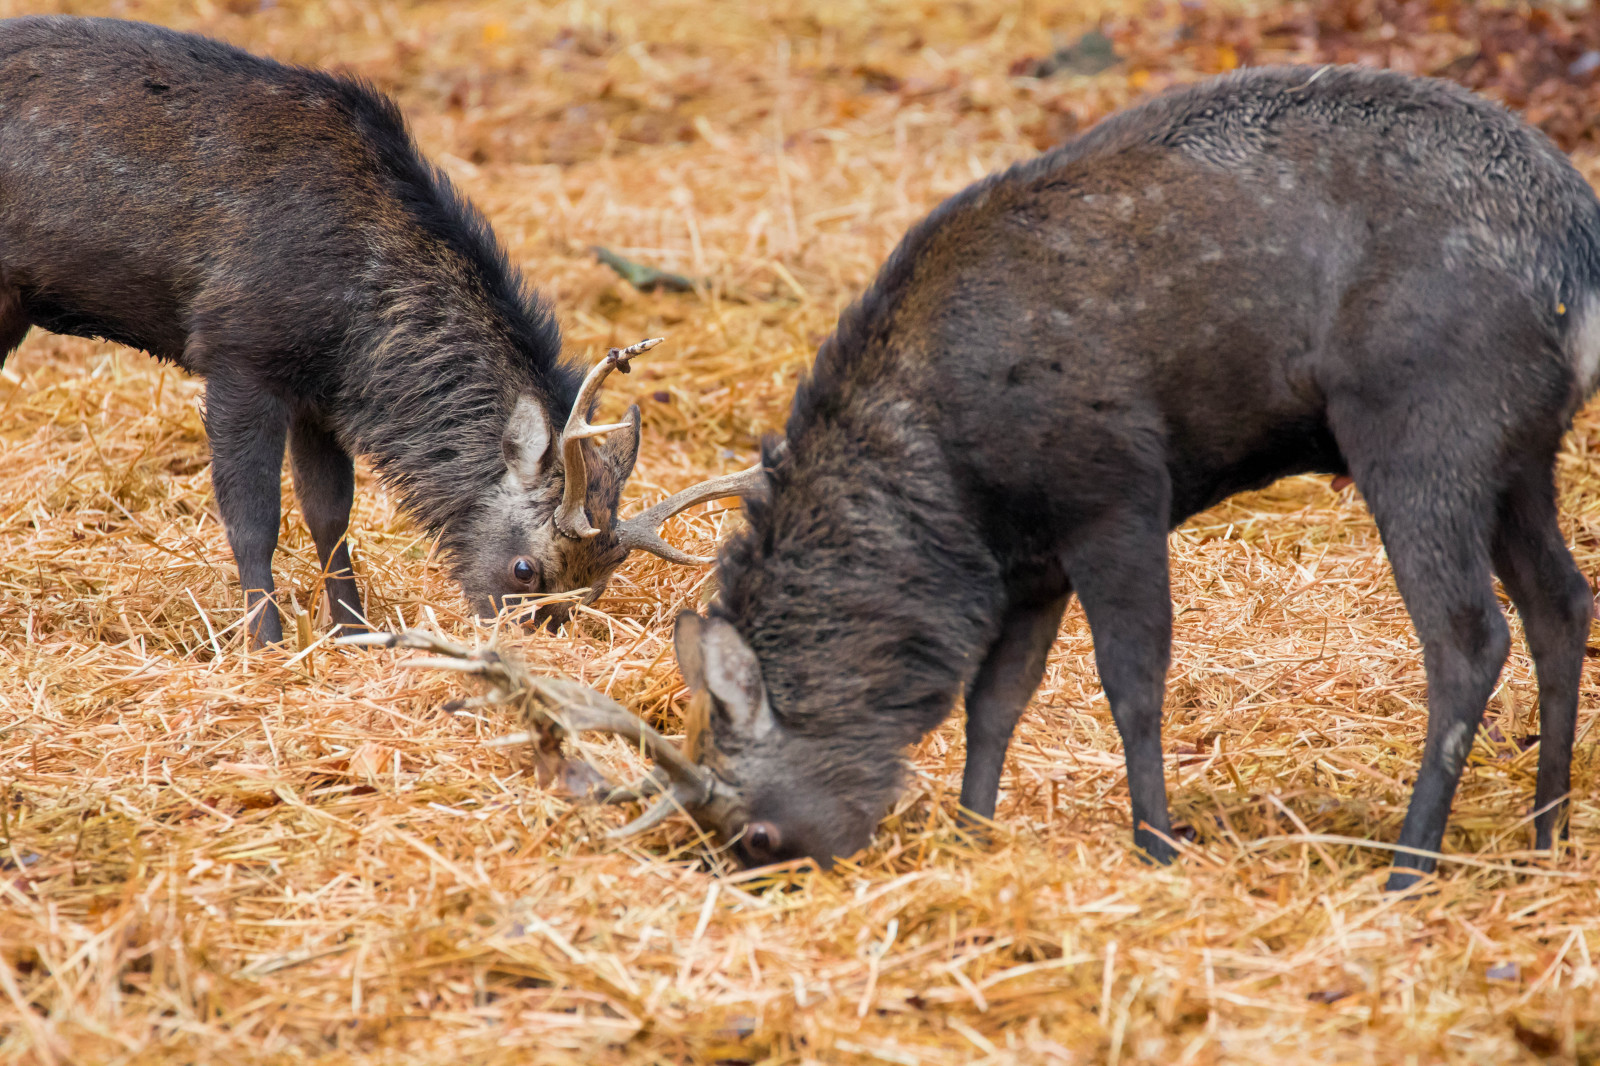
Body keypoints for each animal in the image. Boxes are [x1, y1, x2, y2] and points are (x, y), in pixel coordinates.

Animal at [0, 15, 756, 647]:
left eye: (593, 588)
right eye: (524, 569)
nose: (527, 643)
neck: (360, 321)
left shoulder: (320, 392)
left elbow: (330, 512)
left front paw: (354, 631)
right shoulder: (238, 349)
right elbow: (253, 516)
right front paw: (265, 642)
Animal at [518, 65, 1600, 892]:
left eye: (753, 832)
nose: (766, 869)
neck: (952, 490)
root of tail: (1576, 268)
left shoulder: (1114, 492)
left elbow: (1133, 680)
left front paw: (1157, 843)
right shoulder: (1028, 559)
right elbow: (995, 698)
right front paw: (972, 832)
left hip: (1422, 421)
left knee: (1469, 635)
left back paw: (1410, 863)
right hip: (1522, 454)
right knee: (1562, 602)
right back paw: (1546, 834)